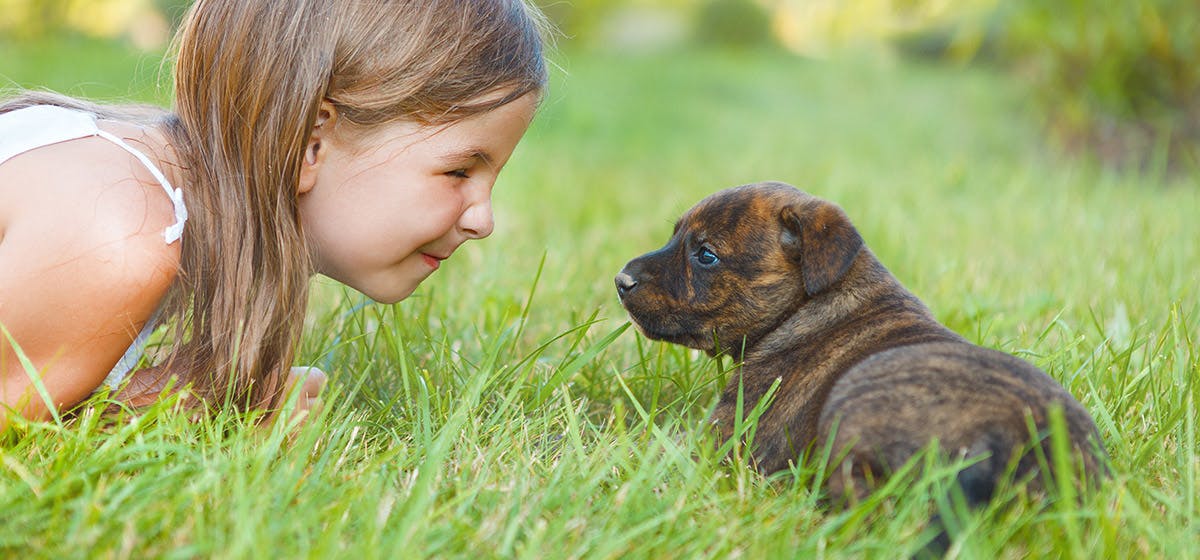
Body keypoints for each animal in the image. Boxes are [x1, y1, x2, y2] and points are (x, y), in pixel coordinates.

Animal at [619, 182, 1104, 506]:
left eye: (706, 255)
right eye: (675, 236)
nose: (621, 281)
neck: (808, 306)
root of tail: (1022, 442)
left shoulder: (727, 437)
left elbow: (660, 441)